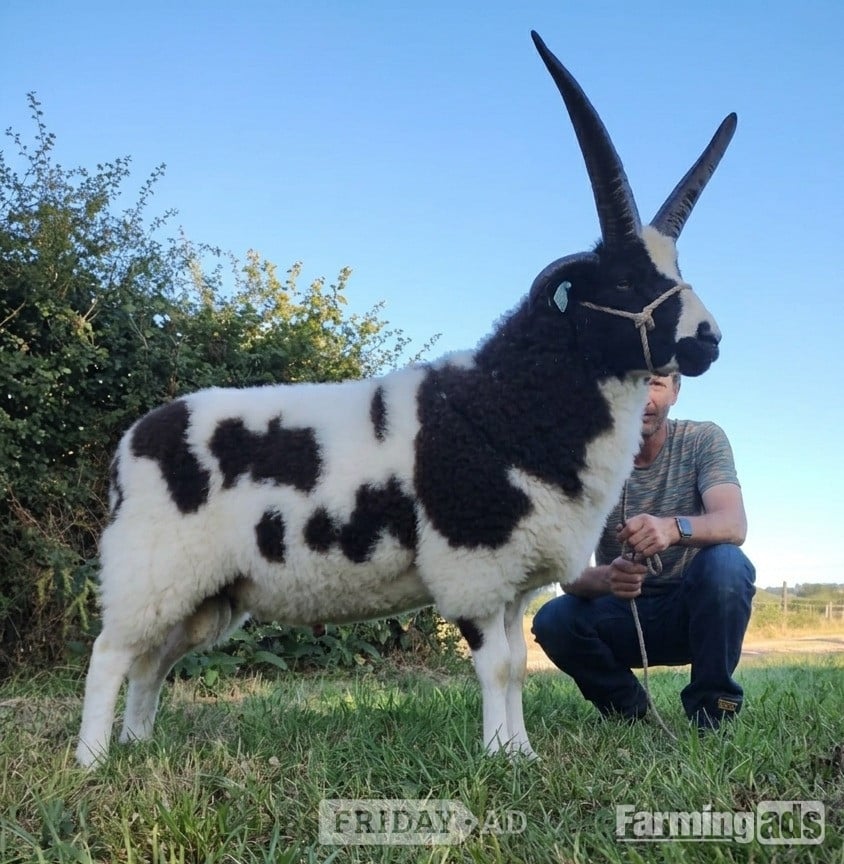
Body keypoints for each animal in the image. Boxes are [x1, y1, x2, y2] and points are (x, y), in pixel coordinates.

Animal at [75, 31, 736, 767]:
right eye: (623, 281)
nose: (708, 340)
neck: (508, 400)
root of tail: (131, 446)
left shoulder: (513, 576)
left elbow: (516, 666)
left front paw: (523, 755)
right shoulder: (471, 565)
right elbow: (497, 666)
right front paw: (500, 758)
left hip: (205, 594)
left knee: (152, 662)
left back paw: (136, 744)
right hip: (149, 571)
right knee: (110, 655)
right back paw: (92, 761)